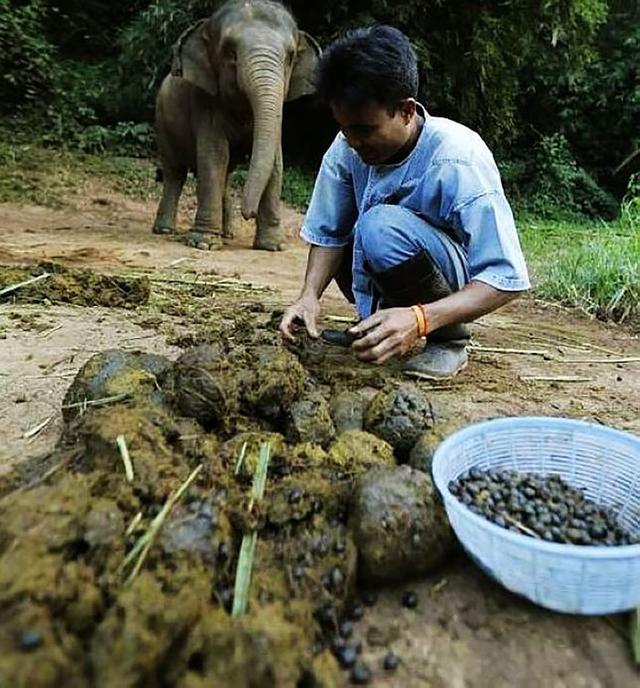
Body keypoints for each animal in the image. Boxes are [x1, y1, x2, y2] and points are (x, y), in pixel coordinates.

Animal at [151, 0, 320, 253]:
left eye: (290, 57)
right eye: (230, 53)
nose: (248, 214)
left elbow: (276, 163)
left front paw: (272, 246)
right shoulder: (205, 103)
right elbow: (214, 155)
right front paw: (203, 243)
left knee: (226, 174)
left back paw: (228, 233)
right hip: (162, 121)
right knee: (175, 173)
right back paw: (164, 230)